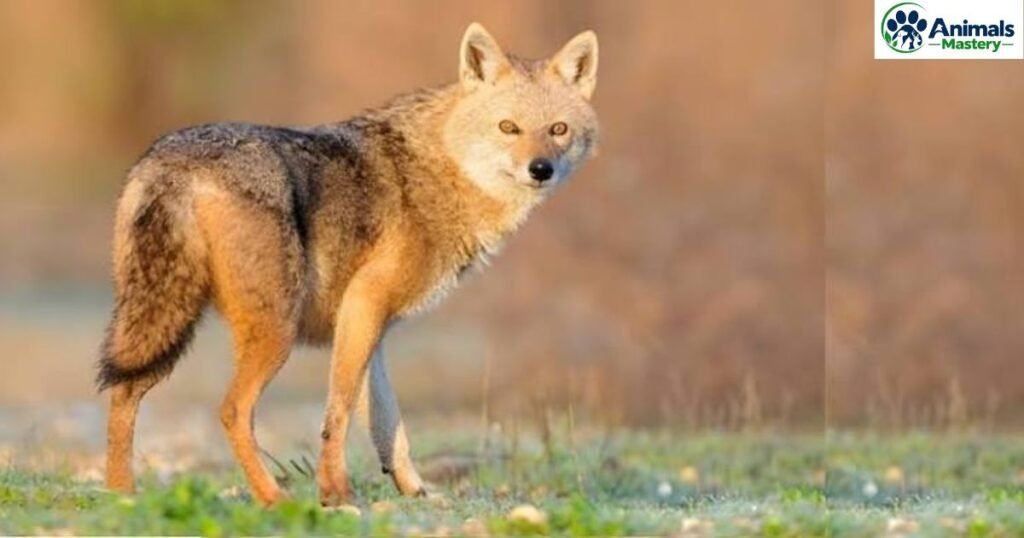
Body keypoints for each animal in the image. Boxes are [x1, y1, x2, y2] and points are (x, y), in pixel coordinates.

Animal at [97, 22, 599, 507]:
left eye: (558, 130)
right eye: (508, 127)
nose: (540, 169)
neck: (441, 170)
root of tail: (175, 162)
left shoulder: (370, 324)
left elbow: (388, 424)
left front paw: (415, 491)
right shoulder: (364, 304)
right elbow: (337, 411)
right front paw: (335, 493)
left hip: (156, 323)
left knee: (122, 393)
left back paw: (122, 496)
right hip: (269, 333)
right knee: (231, 411)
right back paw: (272, 498)